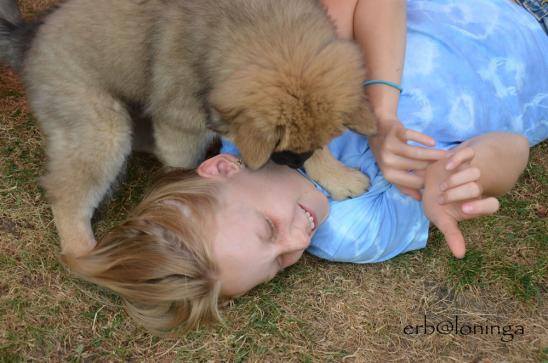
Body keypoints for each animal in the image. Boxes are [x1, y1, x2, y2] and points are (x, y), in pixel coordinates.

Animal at [0, 0, 376, 258]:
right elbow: (183, 163)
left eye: (309, 145)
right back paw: (82, 249)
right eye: (278, 145)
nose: (295, 164)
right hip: (100, 127)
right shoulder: (179, 123)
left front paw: (338, 177)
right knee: (68, 193)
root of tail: (29, 36)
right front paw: (182, 189)